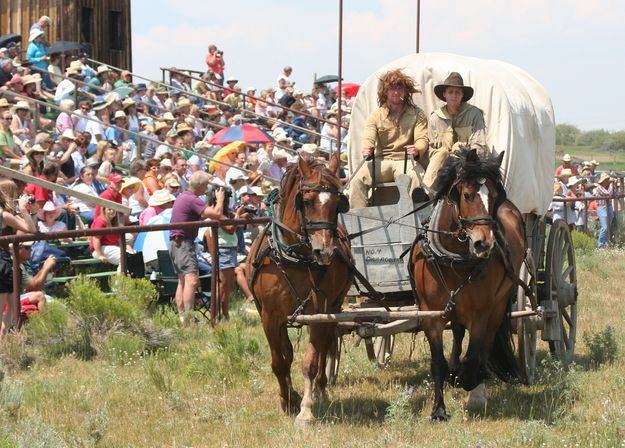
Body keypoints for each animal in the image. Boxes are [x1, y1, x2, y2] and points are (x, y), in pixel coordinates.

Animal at [247, 154, 354, 428]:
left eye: (338, 204)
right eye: (306, 201)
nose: (324, 251)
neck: (295, 258)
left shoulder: (319, 313)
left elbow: (311, 363)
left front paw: (305, 410)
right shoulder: (269, 317)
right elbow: (279, 362)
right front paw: (287, 400)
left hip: (335, 306)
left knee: (326, 346)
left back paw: (321, 390)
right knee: (288, 353)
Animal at [410, 149, 528, 422]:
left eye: (494, 196)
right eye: (467, 195)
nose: (484, 244)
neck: (453, 258)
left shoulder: (481, 312)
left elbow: (474, 356)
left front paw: (468, 381)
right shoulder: (431, 314)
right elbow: (438, 363)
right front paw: (439, 410)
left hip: (499, 303)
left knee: (485, 346)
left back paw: (477, 385)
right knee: (457, 332)